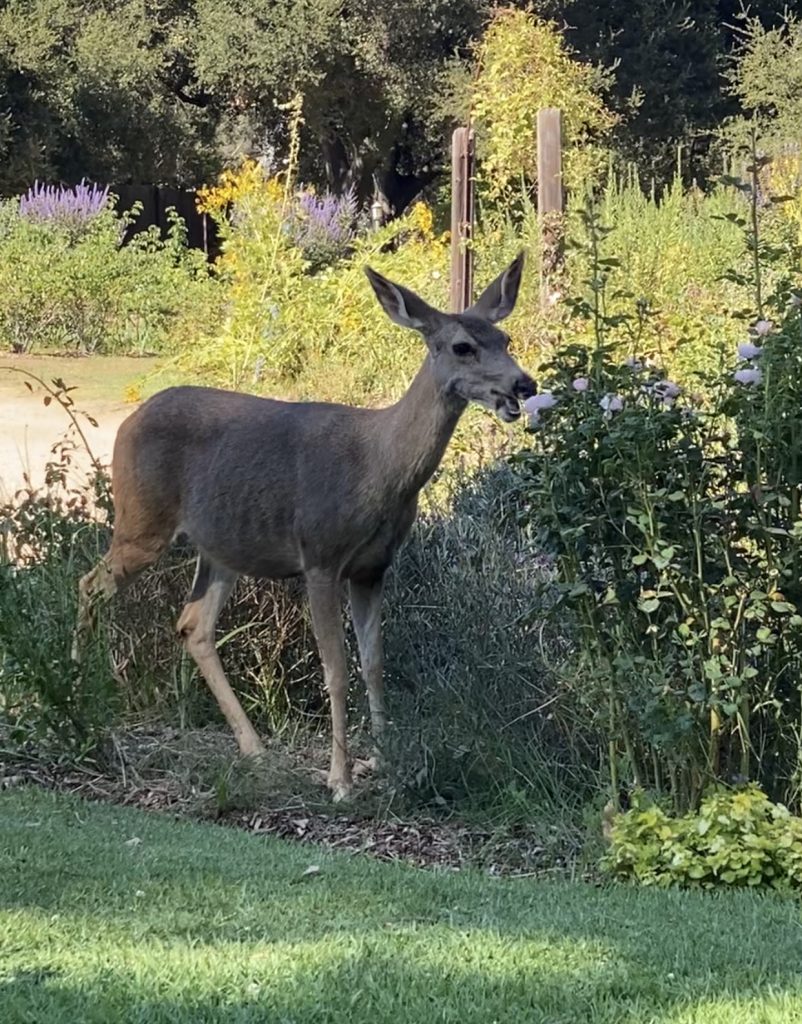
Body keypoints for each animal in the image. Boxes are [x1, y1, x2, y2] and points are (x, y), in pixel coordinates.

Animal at [75, 253, 536, 798]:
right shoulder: (320, 555)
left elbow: (374, 664)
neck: (379, 468)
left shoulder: (373, 567)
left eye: (505, 338)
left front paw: (385, 763)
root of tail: (128, 421)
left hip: (222, 546)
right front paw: (340, 780)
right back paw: (73, 689)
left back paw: (254, 748)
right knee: (90, 584)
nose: (524, 385)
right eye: (463, 346)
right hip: (141, 520)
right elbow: (335, 670)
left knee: (193, 625)